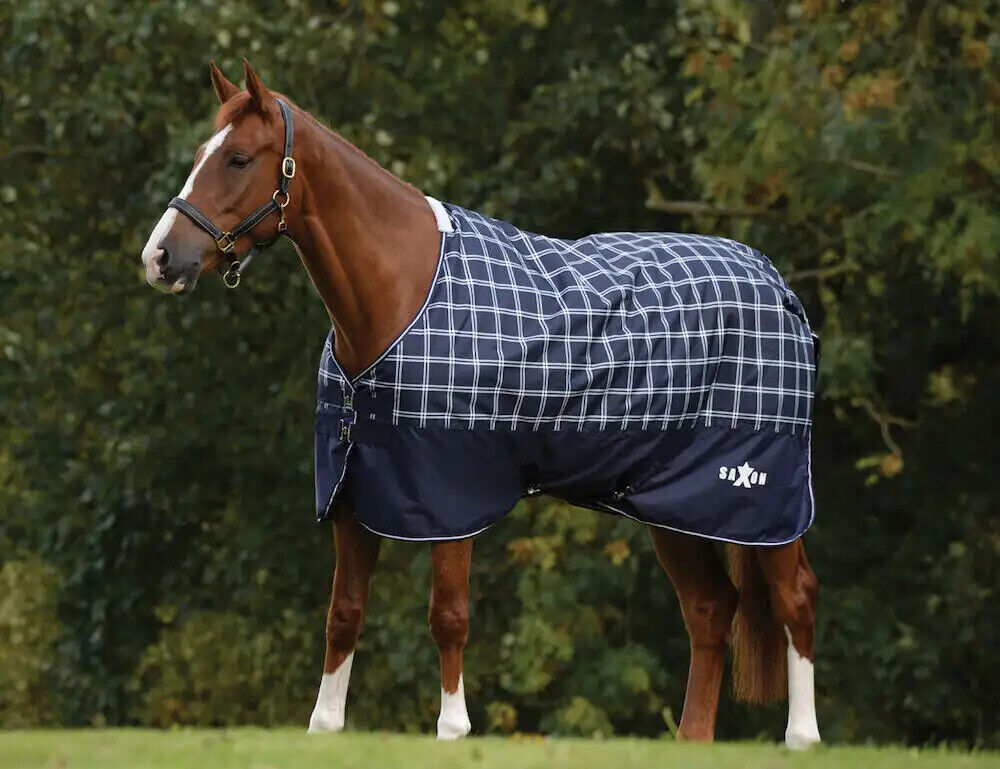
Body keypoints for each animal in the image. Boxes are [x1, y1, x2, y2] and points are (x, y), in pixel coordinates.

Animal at [140, 59, 821, 749]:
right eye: (200, 156)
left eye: (238, 159)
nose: (160, 258)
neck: (400, 291)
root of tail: (776, 286)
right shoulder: (353, 491)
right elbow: (343, 614)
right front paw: (325, 727)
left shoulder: (451, 491)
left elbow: (449, 615)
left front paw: (453, 729)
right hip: (673, 502)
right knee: (710, 609)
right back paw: (693, 740)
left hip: (763, 494)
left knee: (795, 598)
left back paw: (803, 739)